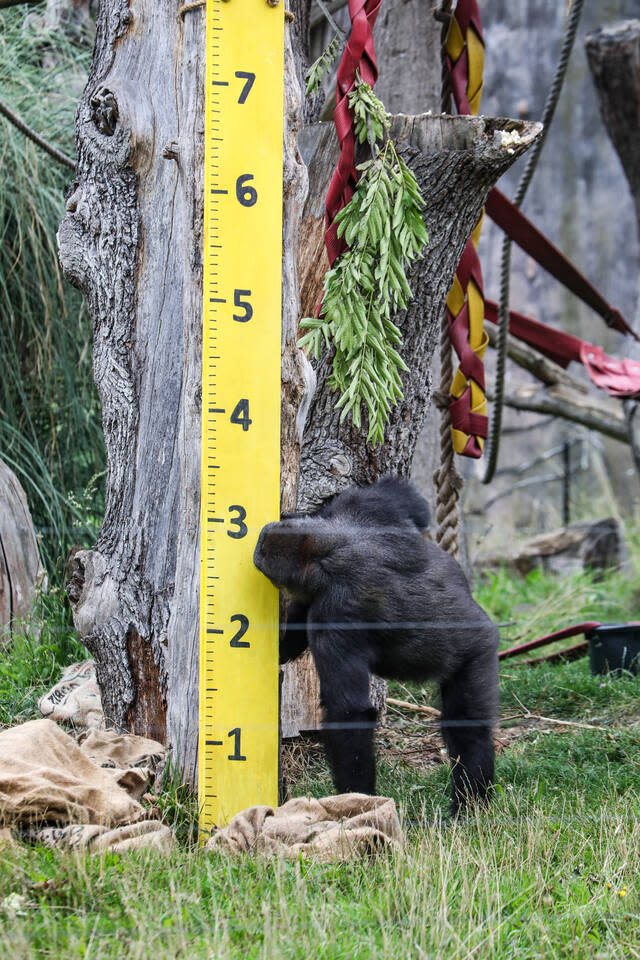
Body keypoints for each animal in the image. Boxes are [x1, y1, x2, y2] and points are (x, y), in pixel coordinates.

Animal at [252, 478, 498, 808]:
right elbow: (407, 499)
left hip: (479, 652)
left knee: (467, 726)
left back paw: (469, 801)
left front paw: (356, 798)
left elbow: (348, 713)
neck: (327, 548)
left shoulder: (335, 615)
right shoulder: (366, 507)